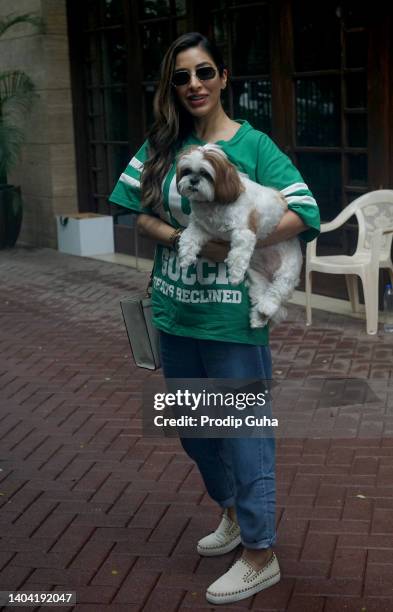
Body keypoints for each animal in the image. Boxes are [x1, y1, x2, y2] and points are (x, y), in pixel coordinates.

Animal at [176, 143, 302, 328]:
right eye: (186, 171)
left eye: (205, 174)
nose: (193, 180)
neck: (213, 203)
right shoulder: (201, 228)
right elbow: (188, 239)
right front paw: (185, 258)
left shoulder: (244, 231)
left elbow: (237, 255)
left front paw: (235, 276)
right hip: (256, 276)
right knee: (260, 292)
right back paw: (259, 316)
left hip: (287, 271)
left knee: (276, 291)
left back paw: (267, 306)